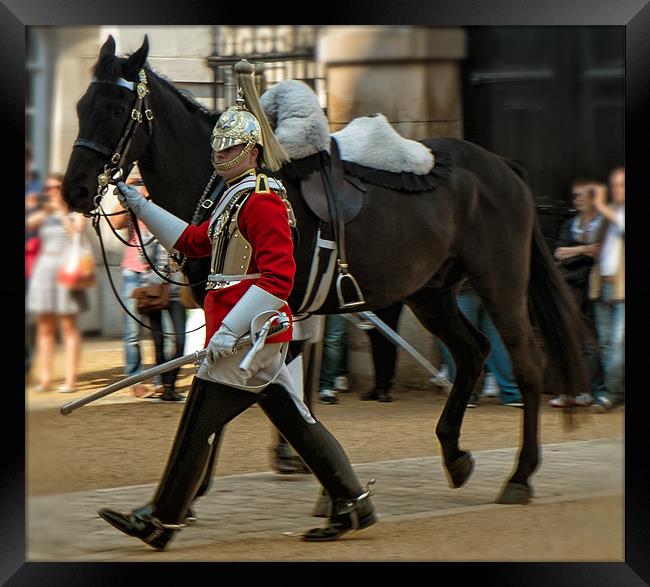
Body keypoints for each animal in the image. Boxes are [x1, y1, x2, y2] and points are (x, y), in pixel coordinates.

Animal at [63, 36, 584, 506]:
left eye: (115, 108)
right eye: (82, 105)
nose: (73, 190)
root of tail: (502, 165)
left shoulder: (266, 308)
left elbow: (260, 384)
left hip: (499, 282)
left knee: (525, 361)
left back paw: (520, 476)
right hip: (431, 293)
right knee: (473, 352)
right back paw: (455, 456)